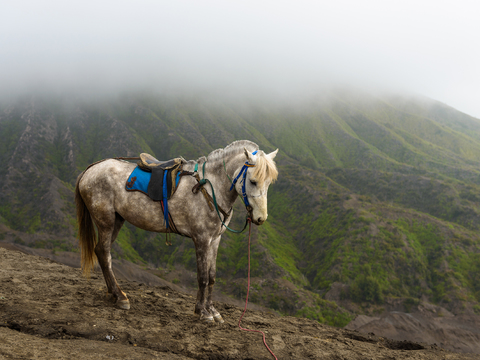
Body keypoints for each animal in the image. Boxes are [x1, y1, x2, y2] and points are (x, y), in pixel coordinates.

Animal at [74, 139, 278, 322]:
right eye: (253, 181)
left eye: (269, 183)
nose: (261, 218)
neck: (209, 187)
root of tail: (89, 170)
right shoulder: (201, 239)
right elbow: (203, 277)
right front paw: (202, 312)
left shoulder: (215, 239)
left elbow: (212, 276)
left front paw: (212, 310)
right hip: (106, 221)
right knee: (105, 253)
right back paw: (120, 296)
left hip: (117, 220)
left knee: (101, 252)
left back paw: (113, 294)